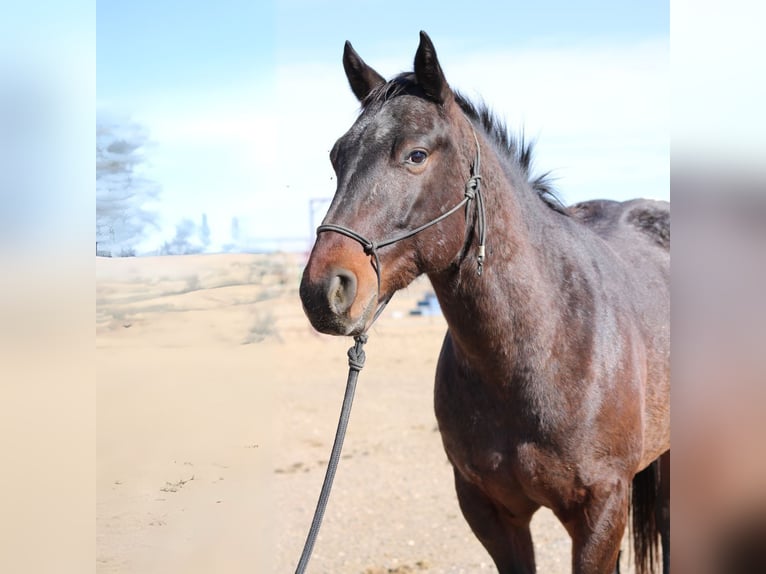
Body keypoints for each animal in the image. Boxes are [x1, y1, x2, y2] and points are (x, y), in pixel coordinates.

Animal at [300, 31, 672, 574]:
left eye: (416, 155)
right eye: (335, 156)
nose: (323, 290)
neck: (540, 351)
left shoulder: (601, 508)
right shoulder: (489, 511)